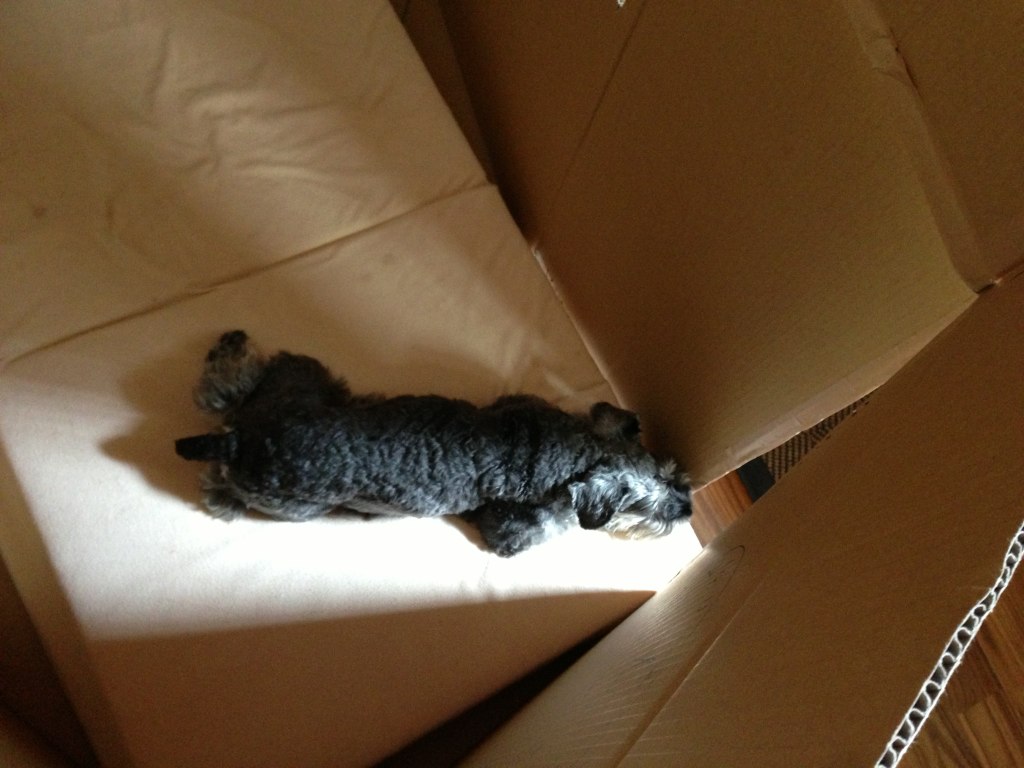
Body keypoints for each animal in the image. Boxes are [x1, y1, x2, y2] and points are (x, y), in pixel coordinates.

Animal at [175, 331, 692, 556]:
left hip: (301, 377)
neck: (567, 451)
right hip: (297, 506)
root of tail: (240, 441)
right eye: (642, 507)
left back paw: (231, 348)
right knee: (219, 485)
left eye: (669, 474)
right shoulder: (512, 535)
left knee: (229, 387)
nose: (687, 508)